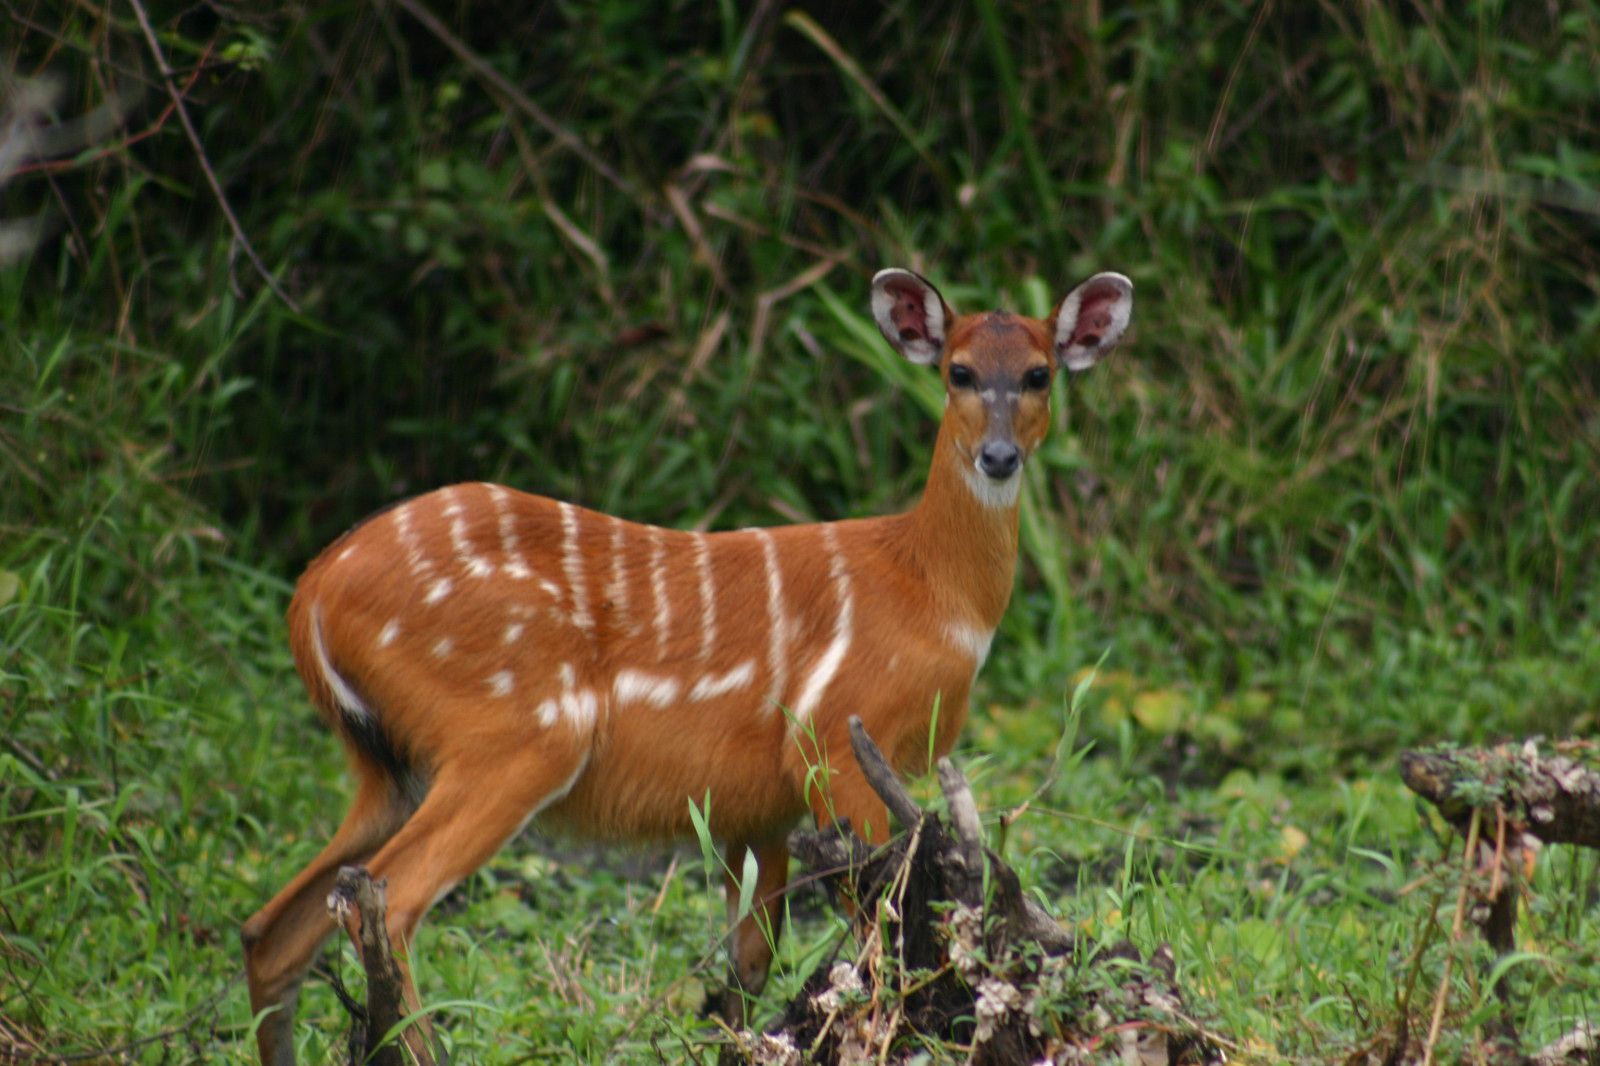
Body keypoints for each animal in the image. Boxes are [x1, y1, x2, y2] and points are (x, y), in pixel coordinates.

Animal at [243, 264, 1132, 1056]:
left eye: (1039, 374)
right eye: (958, 372)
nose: (998, 457)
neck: (928, 590)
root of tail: (311, 593)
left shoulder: (757, 808)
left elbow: (748, 967)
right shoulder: (835, 741)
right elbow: (877, 935)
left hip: (386, 765)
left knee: (275, 926)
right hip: (520, 731)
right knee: (386, 901)